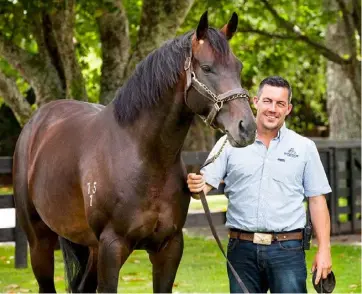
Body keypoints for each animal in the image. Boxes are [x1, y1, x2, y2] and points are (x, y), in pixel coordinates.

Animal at [14, 10, 256, 292]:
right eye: (207, 68)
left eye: (238, 67)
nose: (247, 128)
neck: (146, 158)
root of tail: (38, 121)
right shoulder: (112, 247)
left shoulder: (169, 247)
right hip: (40, 242)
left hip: (89, 245)